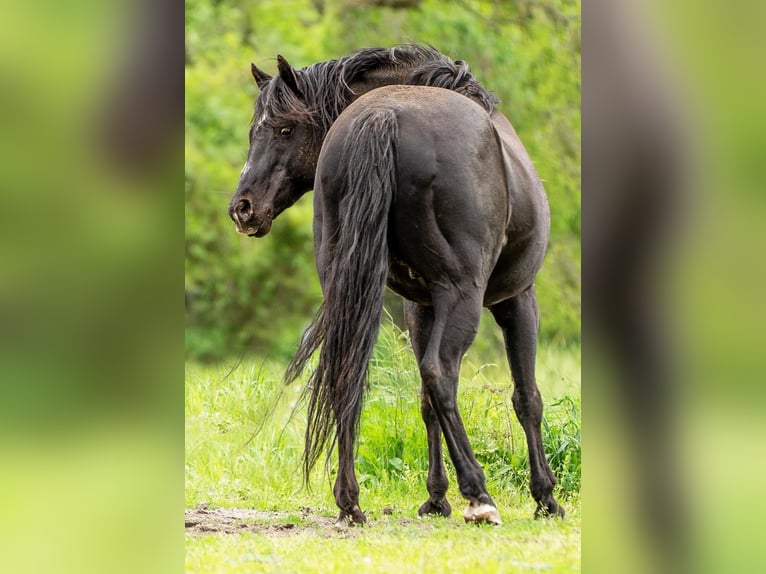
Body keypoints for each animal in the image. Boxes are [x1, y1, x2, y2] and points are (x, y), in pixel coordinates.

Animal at [228, 44, 564, 526]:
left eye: (284, 128)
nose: (243, 208)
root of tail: (382, 114)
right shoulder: (517, 300)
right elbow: (526, 397)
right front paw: (545, 497)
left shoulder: (420, 307)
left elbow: (424, 404)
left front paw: (436, 498)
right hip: (465, 296)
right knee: (441, 374)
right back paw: (478, 495)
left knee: (349, 376)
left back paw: (350, 501)